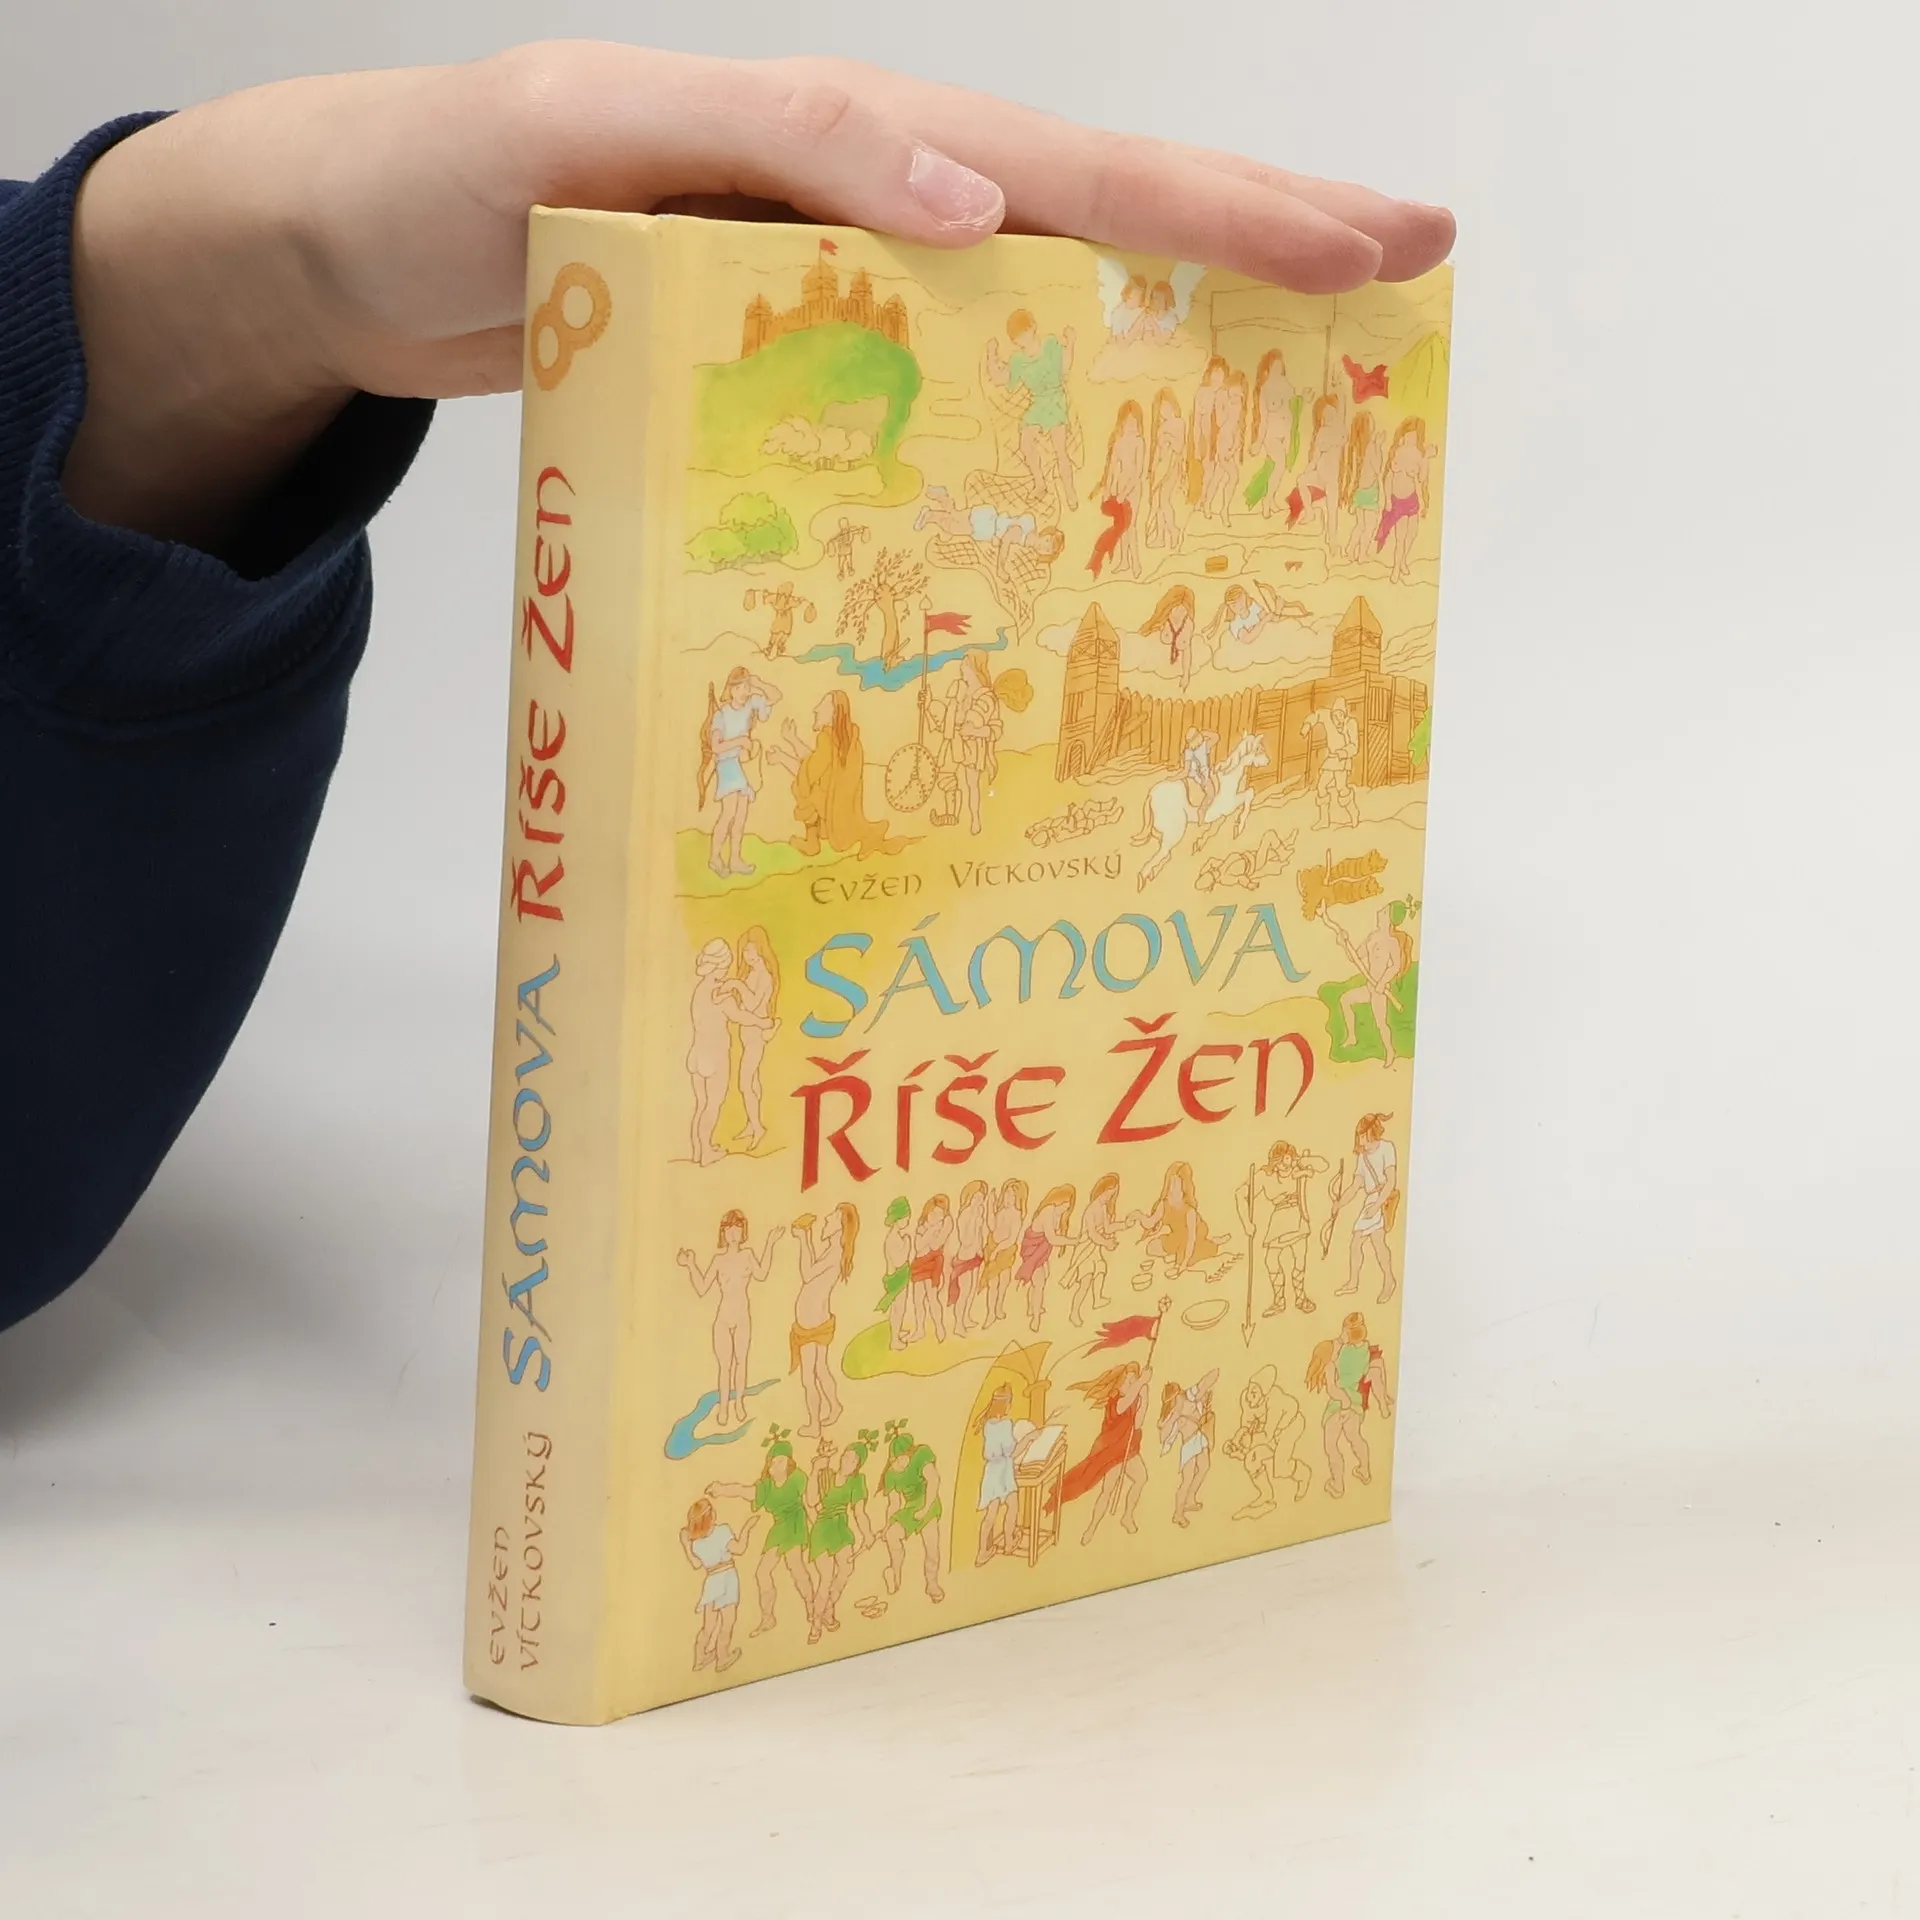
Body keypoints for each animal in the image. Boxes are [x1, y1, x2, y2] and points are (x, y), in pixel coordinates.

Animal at [1131, 731, 1272, 888]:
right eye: (1259, 749)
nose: (1268, 761)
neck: (1228, 775)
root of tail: (1151, 794)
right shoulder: (1229, 806)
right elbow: (1250, 794)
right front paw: (1238, 828)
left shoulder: (1220, 816)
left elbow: (1213, 829)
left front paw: (1200, 842)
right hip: (1174, 832)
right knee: (1161, 854)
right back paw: (1142, 878)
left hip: (1162, 833)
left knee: (1165, 854)